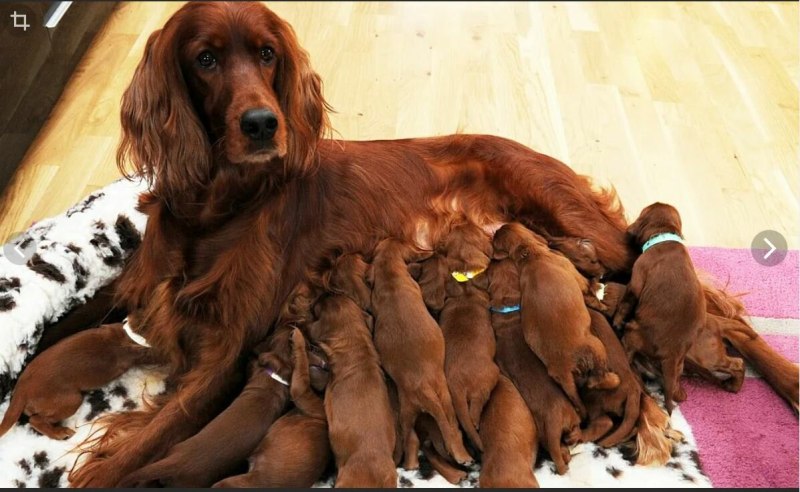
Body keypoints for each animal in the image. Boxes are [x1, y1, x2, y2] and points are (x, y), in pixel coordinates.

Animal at [213, 330, 331, 488]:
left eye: (312, 348)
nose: (314, 344)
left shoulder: (301, 391)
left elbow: (302, 364)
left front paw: (297, 338)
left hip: (231, 482)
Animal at [370, 237, 472, 469]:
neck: (389, 275)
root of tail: (422, 387)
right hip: (444, 397)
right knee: (452, 428)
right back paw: (463, 456)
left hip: (406, 413)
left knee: (409, 437)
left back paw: (410, 464)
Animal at [487, 258, 581, 475]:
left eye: (494, 266)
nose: (496, 258)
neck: (508, 308)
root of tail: (559, 419)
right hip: (573, 419)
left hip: (547, 435)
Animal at [493, 223, 620, 416]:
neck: (531, 254)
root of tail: (563, 368)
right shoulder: (576, 275)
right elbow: (589, 290)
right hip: (596, 346)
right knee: (596, 380)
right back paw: (613, 379)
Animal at [613, 203, 705, 412]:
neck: (665, 237)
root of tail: (671, 355)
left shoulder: (637, 277)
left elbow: (625, 303)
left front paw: (616, 320)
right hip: (678, 367)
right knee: (677, 392)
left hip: (633, 332)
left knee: (629, 352)